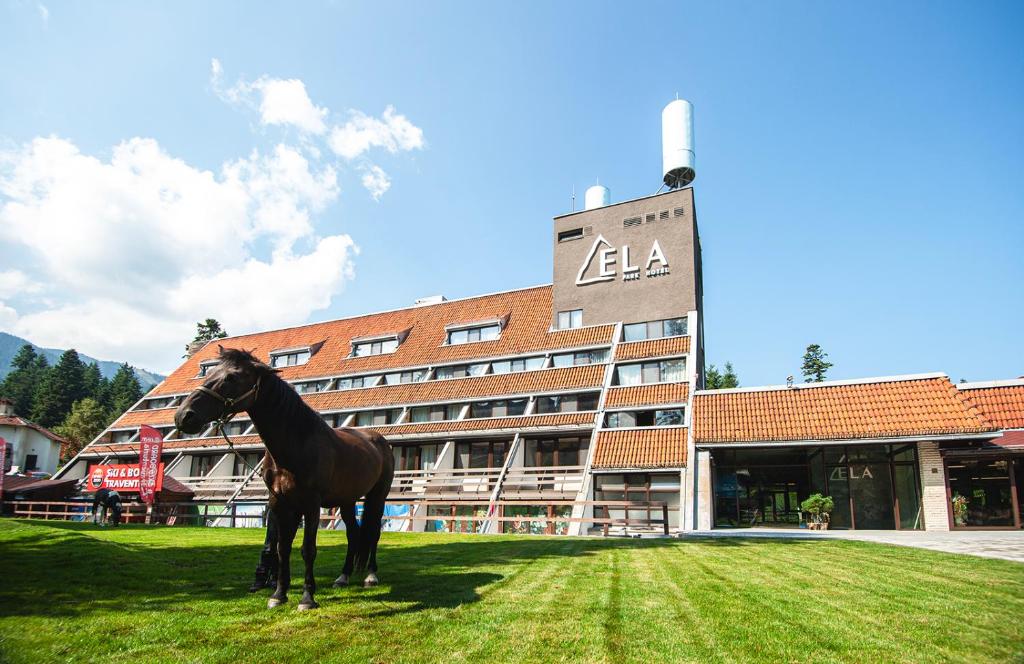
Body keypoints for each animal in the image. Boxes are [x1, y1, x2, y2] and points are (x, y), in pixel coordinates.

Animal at [174, 348, 393, 610]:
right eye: (211, 371)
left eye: (231, 377)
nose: (184, 416)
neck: (295, 445)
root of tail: (378, 440)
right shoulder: (280, 504)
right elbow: (282, 548)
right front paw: (278, 594)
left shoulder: (311, 505)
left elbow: (308, 549)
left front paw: (307, 598)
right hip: (347, 500)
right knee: (354, 533)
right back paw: (343, 576)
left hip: (377, 497)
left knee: (373, 532)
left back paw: (371, 575)